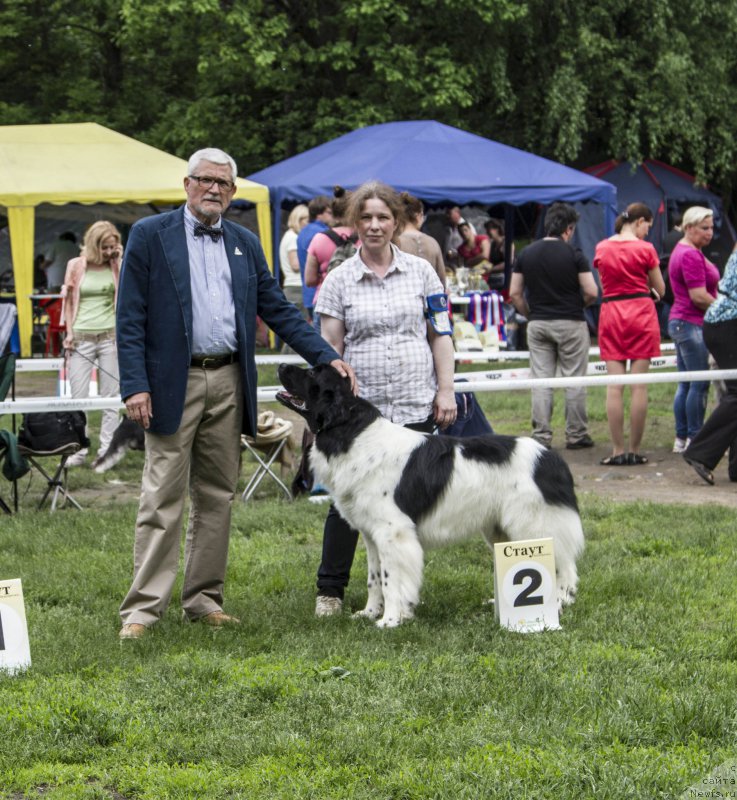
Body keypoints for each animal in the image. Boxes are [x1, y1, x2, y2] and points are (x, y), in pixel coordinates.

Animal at [278, 366, 584, 628]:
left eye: (313, 373)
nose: (281, 366)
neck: (351, 432)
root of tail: (550, 457)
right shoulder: (371, 535)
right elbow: (374, 578)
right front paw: (369, 612)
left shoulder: (393, 533)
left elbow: (390, 579)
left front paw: (390, 620)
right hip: (500, 530)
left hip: (533, 525)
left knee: (562, 566)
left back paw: (557, 603)